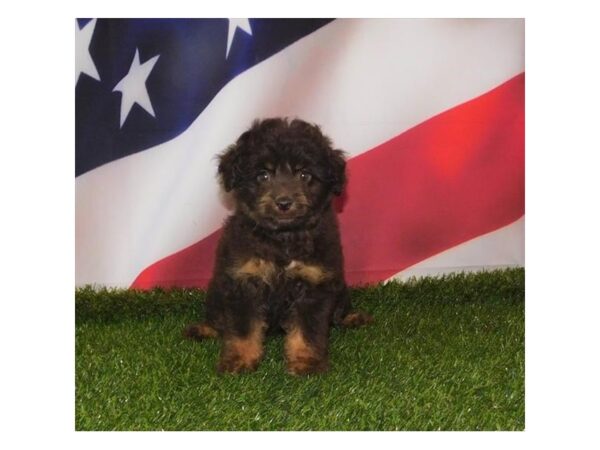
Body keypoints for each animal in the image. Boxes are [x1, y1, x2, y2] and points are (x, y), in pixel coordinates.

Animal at [184, 118, 370, 374]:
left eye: (305, 175)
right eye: (262, 175)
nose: (284, 203)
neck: (283, 239)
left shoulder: (314, 283)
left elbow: (308, 329)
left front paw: (306, 362)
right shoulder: (243, 281)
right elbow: (242, 329)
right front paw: (239, 360)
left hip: (340, 287)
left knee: (339, 312)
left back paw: (352, 318)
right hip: (216, 290)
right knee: (217, 317)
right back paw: (203, 329)